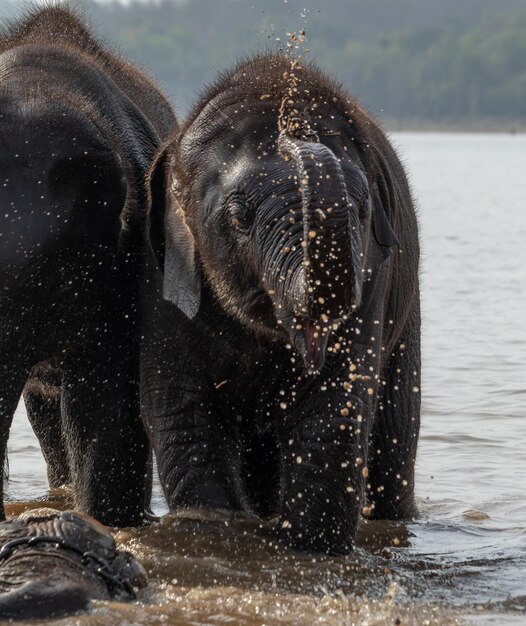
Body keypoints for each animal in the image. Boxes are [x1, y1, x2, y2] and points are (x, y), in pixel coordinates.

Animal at [142, 53, 422, 552]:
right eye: (239, 217)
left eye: (363, 212)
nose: (293, 131)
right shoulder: (164, 278)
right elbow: (185, 415)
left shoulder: (373, 278)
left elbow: (333, 415)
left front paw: (309, 548)